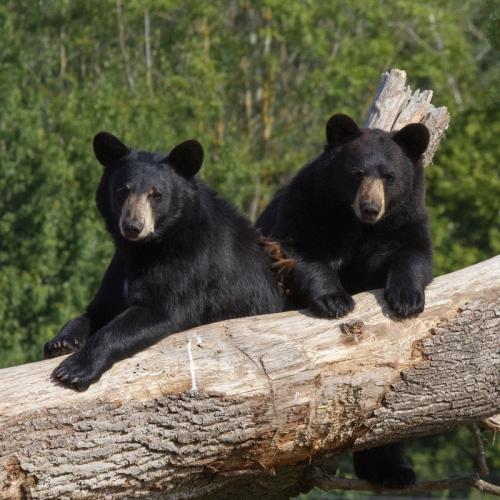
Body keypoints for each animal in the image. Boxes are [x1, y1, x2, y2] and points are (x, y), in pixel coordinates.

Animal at [45, 132, 286, 390]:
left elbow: (158, 308)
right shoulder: (119, 268)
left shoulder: (189, 264)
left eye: (156, 195)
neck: (146, 248)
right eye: (122, 190)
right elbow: (98, 309)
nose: (132, 226)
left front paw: (74, 370)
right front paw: (60, 341)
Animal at [256, 114, 432, 488]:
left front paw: (407, 299)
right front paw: (336, 300)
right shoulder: (308, 207)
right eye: (356, 173)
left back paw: (394, 471)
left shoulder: (404, 219)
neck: (355, 224)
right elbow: (298, 251)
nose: (371, 208)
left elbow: (413, 252)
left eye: (390, 176)